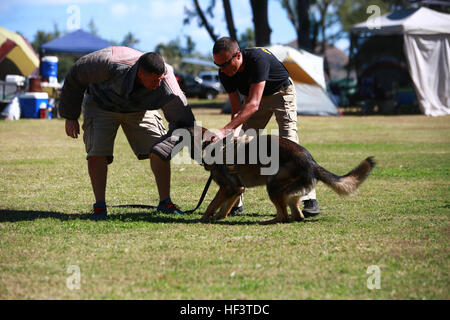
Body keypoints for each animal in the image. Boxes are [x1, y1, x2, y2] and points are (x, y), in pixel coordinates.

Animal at [185, 126, 374, 224]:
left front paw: (203, 218)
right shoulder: (237, 189)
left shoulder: (228, 188)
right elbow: (223, 208)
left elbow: (212, 204)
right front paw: (217, 217)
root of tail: (311, 162)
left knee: (284, 216)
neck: (213, 146)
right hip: (288, 193)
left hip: (273, 187)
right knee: (295, 215)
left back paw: (268, 221)